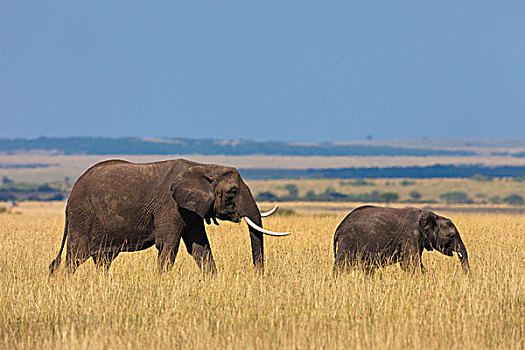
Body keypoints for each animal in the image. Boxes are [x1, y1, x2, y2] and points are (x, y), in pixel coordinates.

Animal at [48, 158, 290, 274]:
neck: (203, 166)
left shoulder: (191, 210)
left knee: (103, 259)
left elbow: (199, 247)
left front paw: (213, 281)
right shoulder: (169, 205)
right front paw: (161, 282)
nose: (258, 275)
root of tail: (71, 194)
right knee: (76, 256)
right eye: (232, 191)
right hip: (82, 216)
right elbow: (168, 245)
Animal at [334, 205, 468, 274]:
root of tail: (339, 228)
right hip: (348, 241)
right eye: (451, 235)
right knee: (342, 265)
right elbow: (410, 263)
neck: (434, 216)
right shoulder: (410, 235)